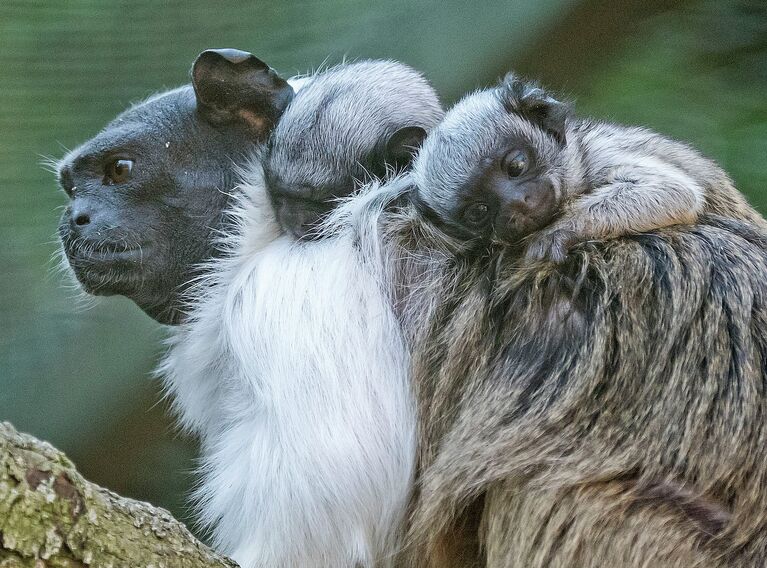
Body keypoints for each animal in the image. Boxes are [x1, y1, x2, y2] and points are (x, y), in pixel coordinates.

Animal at [414, 73, 760, 260]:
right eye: (479, 211)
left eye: (517, 165)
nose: (517, 202)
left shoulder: (601, 157)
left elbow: (672, 192)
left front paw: (556, 234)